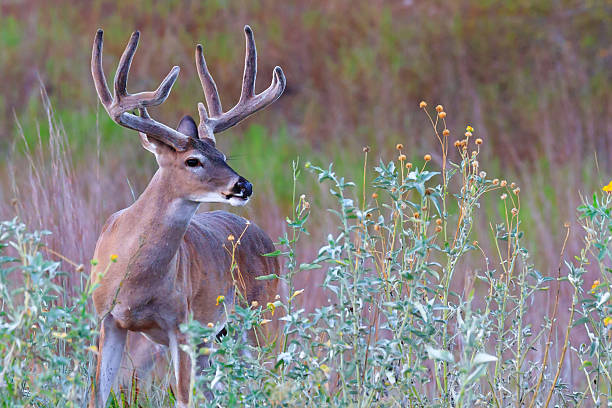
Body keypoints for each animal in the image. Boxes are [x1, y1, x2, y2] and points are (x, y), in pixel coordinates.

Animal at [88, 26, 284, 408]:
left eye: (223, 155)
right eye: (193, 160)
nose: (244, 185)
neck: (134, 281)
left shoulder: (181, 323)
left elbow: (183, 398)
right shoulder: (107, 318)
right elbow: (97, 395)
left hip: (260, 318)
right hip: (215, 338)